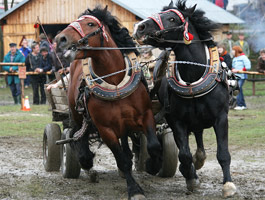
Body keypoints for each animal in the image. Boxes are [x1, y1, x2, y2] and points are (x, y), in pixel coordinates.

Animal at [54, 5, 160, 198]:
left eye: (90, 24)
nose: (60, 38)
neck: (115, 81)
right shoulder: (106, 129)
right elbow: (121, 159)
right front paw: (134, 189)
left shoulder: (146, 115)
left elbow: (154, 145)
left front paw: (152, 165)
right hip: (77, 114)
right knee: (77, 135)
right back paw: (87, 163)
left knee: (125, 140)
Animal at [133, 0, 236, 198]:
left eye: (172, 19)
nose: (139, 27)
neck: (193, 76)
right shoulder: (176, 121)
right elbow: (184, 155)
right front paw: (191, 178)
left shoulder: (221, 118)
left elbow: (223, 153)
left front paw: (228, 185)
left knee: (200, 138)